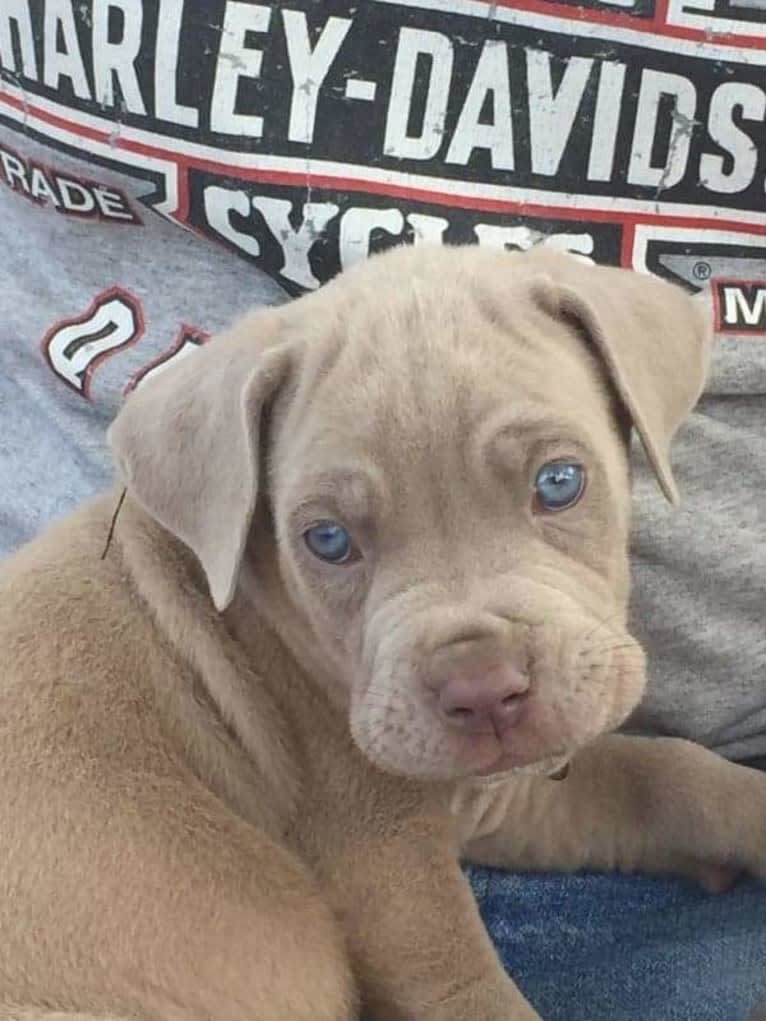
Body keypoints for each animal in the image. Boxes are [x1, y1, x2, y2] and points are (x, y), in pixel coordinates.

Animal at [1, 247, 766, 1021]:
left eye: (559, 481)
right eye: (328, 539)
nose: (482, 688)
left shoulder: (497, 791)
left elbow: (667, 774)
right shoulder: (388, 871)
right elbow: (471, 991)